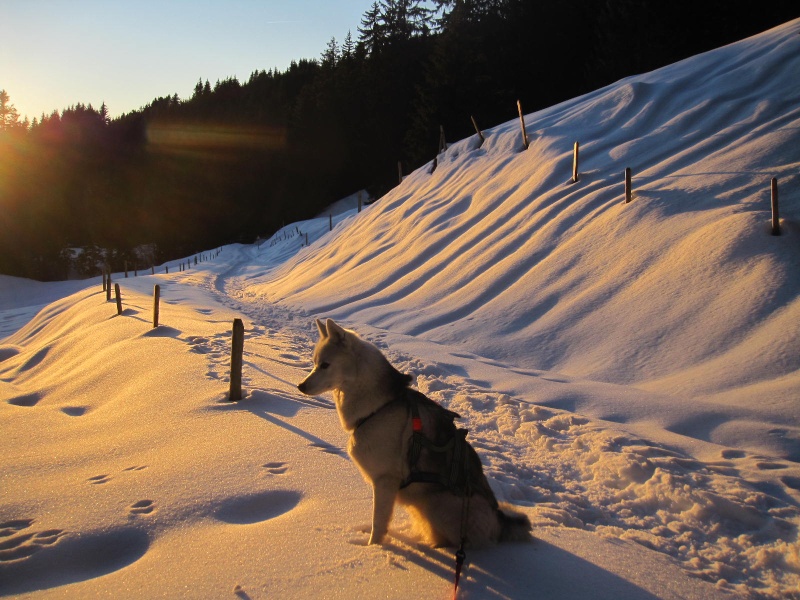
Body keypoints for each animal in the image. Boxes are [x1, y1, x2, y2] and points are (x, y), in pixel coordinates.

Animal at [296, 322, 532, 548]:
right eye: (315, 363)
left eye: (325, 365)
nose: (300, 386)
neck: (381, 405)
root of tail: (499, 521)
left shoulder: (385, 481)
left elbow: (378, 523)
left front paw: (374, 548)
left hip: (437, 503)